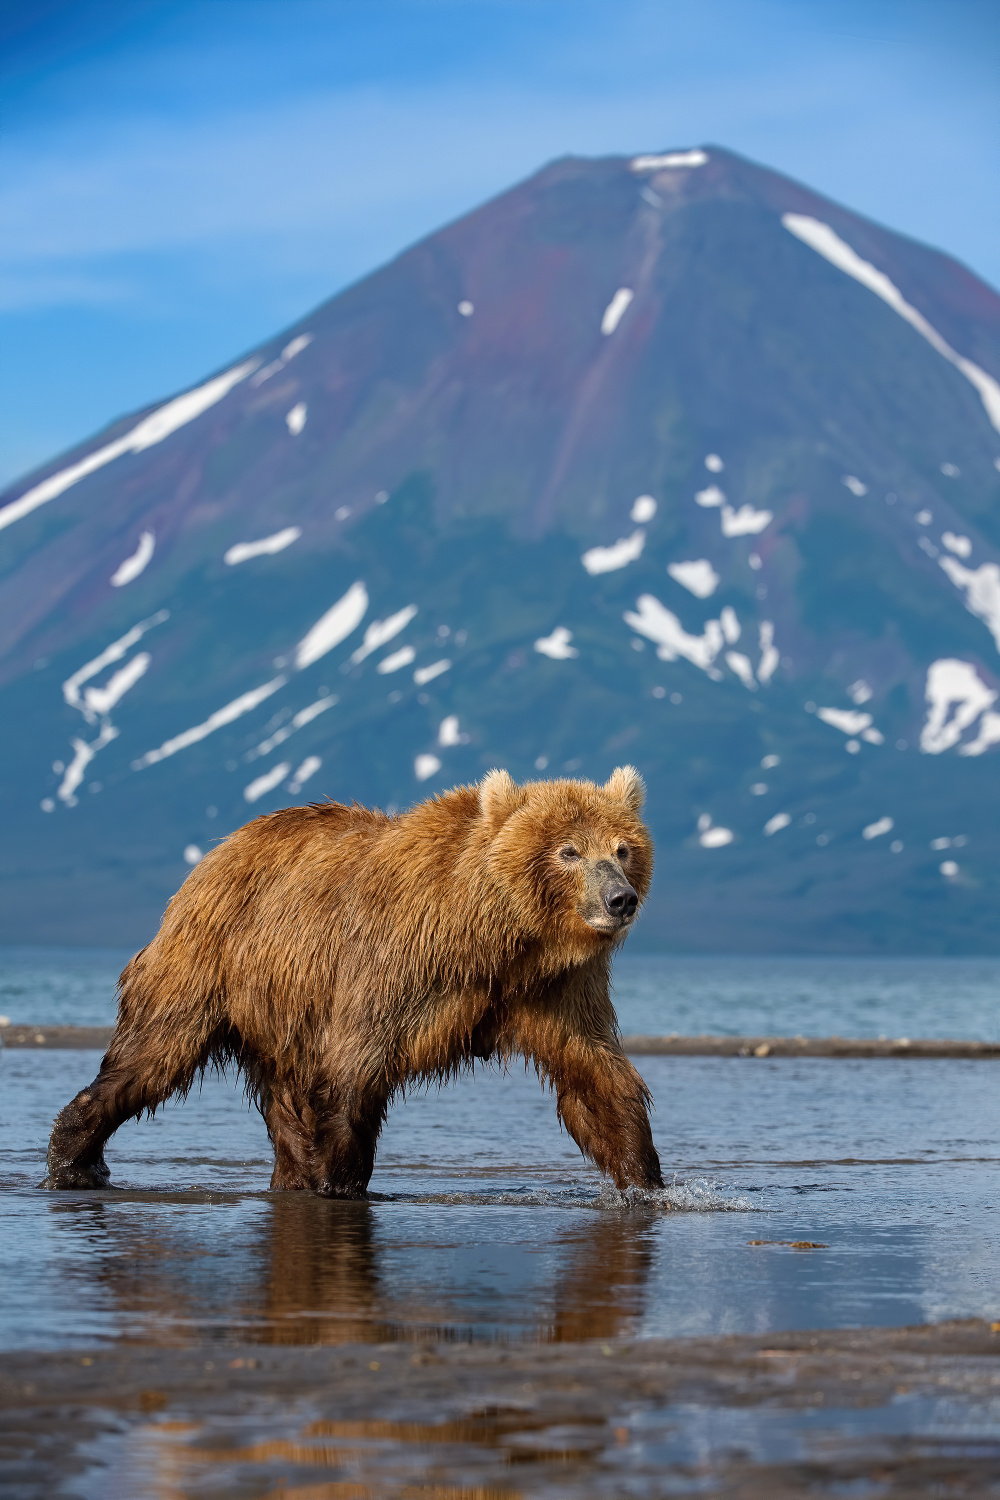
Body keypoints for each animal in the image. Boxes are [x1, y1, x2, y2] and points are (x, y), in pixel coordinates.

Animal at [43, 768, 665, 1200]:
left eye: (622, 848)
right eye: (569, 851)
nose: (620, 899)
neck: (496, 936)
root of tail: (212, 856)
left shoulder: (555, 987)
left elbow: (594, 1071)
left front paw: (645, 1180)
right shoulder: (394, 964)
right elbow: (354, 1068)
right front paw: (339, 1183)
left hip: (278, 1012)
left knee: (281, 1102)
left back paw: (288, 1175)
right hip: (211, 961)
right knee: (150, 1054)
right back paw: (74, 1160)